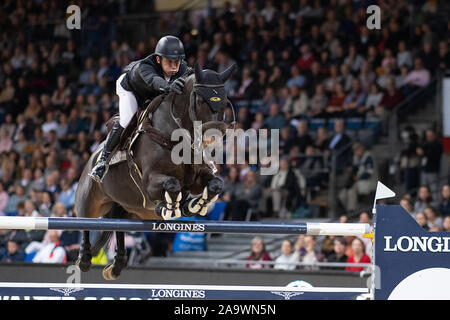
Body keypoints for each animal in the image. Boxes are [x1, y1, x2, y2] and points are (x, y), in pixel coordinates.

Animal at [73, 62, 236, 280]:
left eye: (225, 101)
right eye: (200, 100)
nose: (214, 138)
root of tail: (93, 155)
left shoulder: (196, 178)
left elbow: (215, 184)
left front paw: (195, 205)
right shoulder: (150, 181)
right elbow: (172, 184)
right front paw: (170, 207)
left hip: (131, 209)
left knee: (118, 225)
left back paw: (116, 266)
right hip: (91, 199)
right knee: (85, 221)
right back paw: (83, 259)